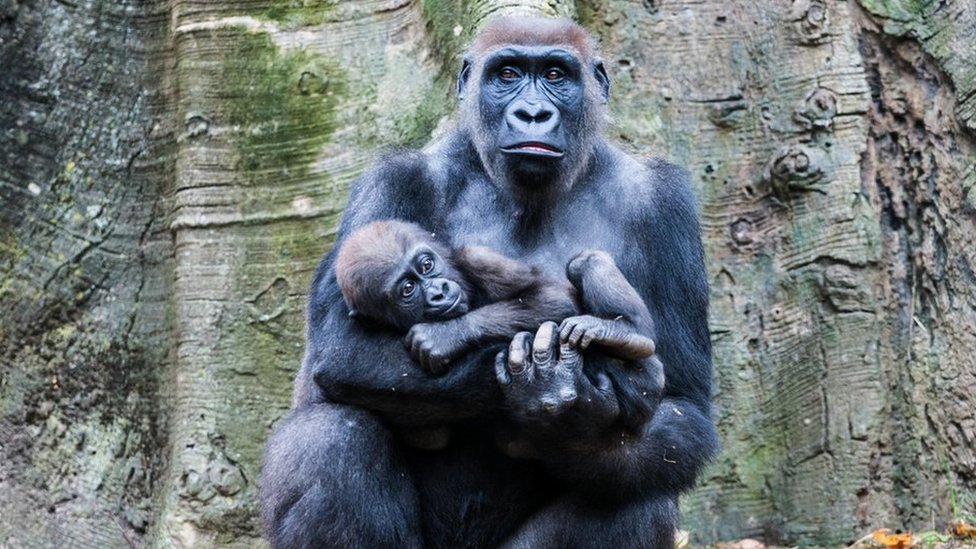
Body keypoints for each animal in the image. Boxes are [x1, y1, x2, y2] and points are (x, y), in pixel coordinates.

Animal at [260, 15, 716, 544]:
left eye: (556, 75)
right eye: (508, 74)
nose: (533, 113)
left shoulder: (666, 202)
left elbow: (685, 408)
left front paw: (577, 418)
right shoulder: (389, 181)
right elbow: (341, 351)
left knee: (640, 494)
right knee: (332, 437)